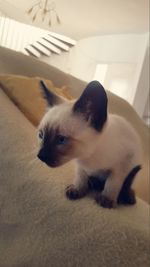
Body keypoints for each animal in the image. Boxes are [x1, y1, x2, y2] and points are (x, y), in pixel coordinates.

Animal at [37, 80, 142, 209]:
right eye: (41, 135)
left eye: (61, 139)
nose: (40, 156)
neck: (89, 157)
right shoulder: (80, 165)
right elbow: (80, 178)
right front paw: (77, 190)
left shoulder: (124, 163)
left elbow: (112, 183)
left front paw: (106, 200)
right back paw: (92, 183)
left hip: (133, 168)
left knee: (127, 184)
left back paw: (127, 197)